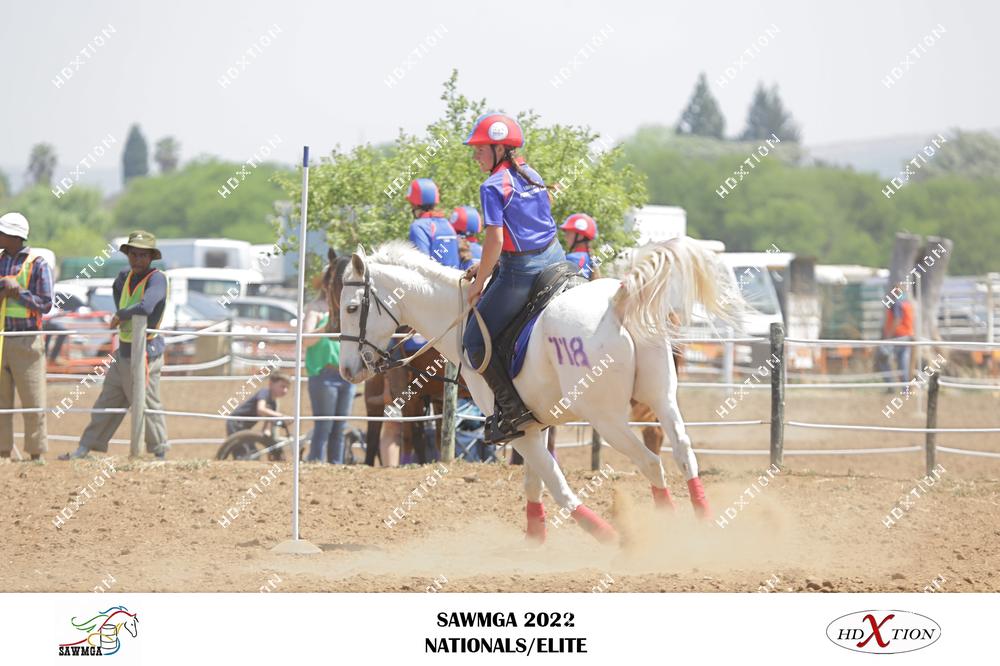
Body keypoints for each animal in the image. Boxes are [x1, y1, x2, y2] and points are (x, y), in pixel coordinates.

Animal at [337, 237, 743, 543]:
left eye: (352, 307)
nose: (347, 369)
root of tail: (618, 301)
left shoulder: (518, 431)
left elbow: (557, 485)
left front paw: (609, 537)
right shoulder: (534, 424)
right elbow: (535, 483)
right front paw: (536, 537)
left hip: (607, 419)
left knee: (651, 462)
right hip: (663, 398)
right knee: (683, 454)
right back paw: (701, 522)